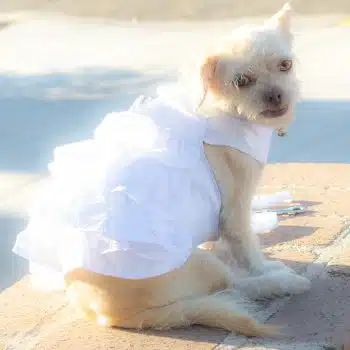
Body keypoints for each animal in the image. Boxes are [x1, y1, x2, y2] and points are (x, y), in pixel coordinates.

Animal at [20, 2, 310, 336]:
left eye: (285, 65)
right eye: (242, 81)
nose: (276, 95)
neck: (223, 109)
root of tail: (111, 318)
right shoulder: (235, 212)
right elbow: (248, 251)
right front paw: (262, 267)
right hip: (199, 262)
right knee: (235, 285)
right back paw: (281, 281)